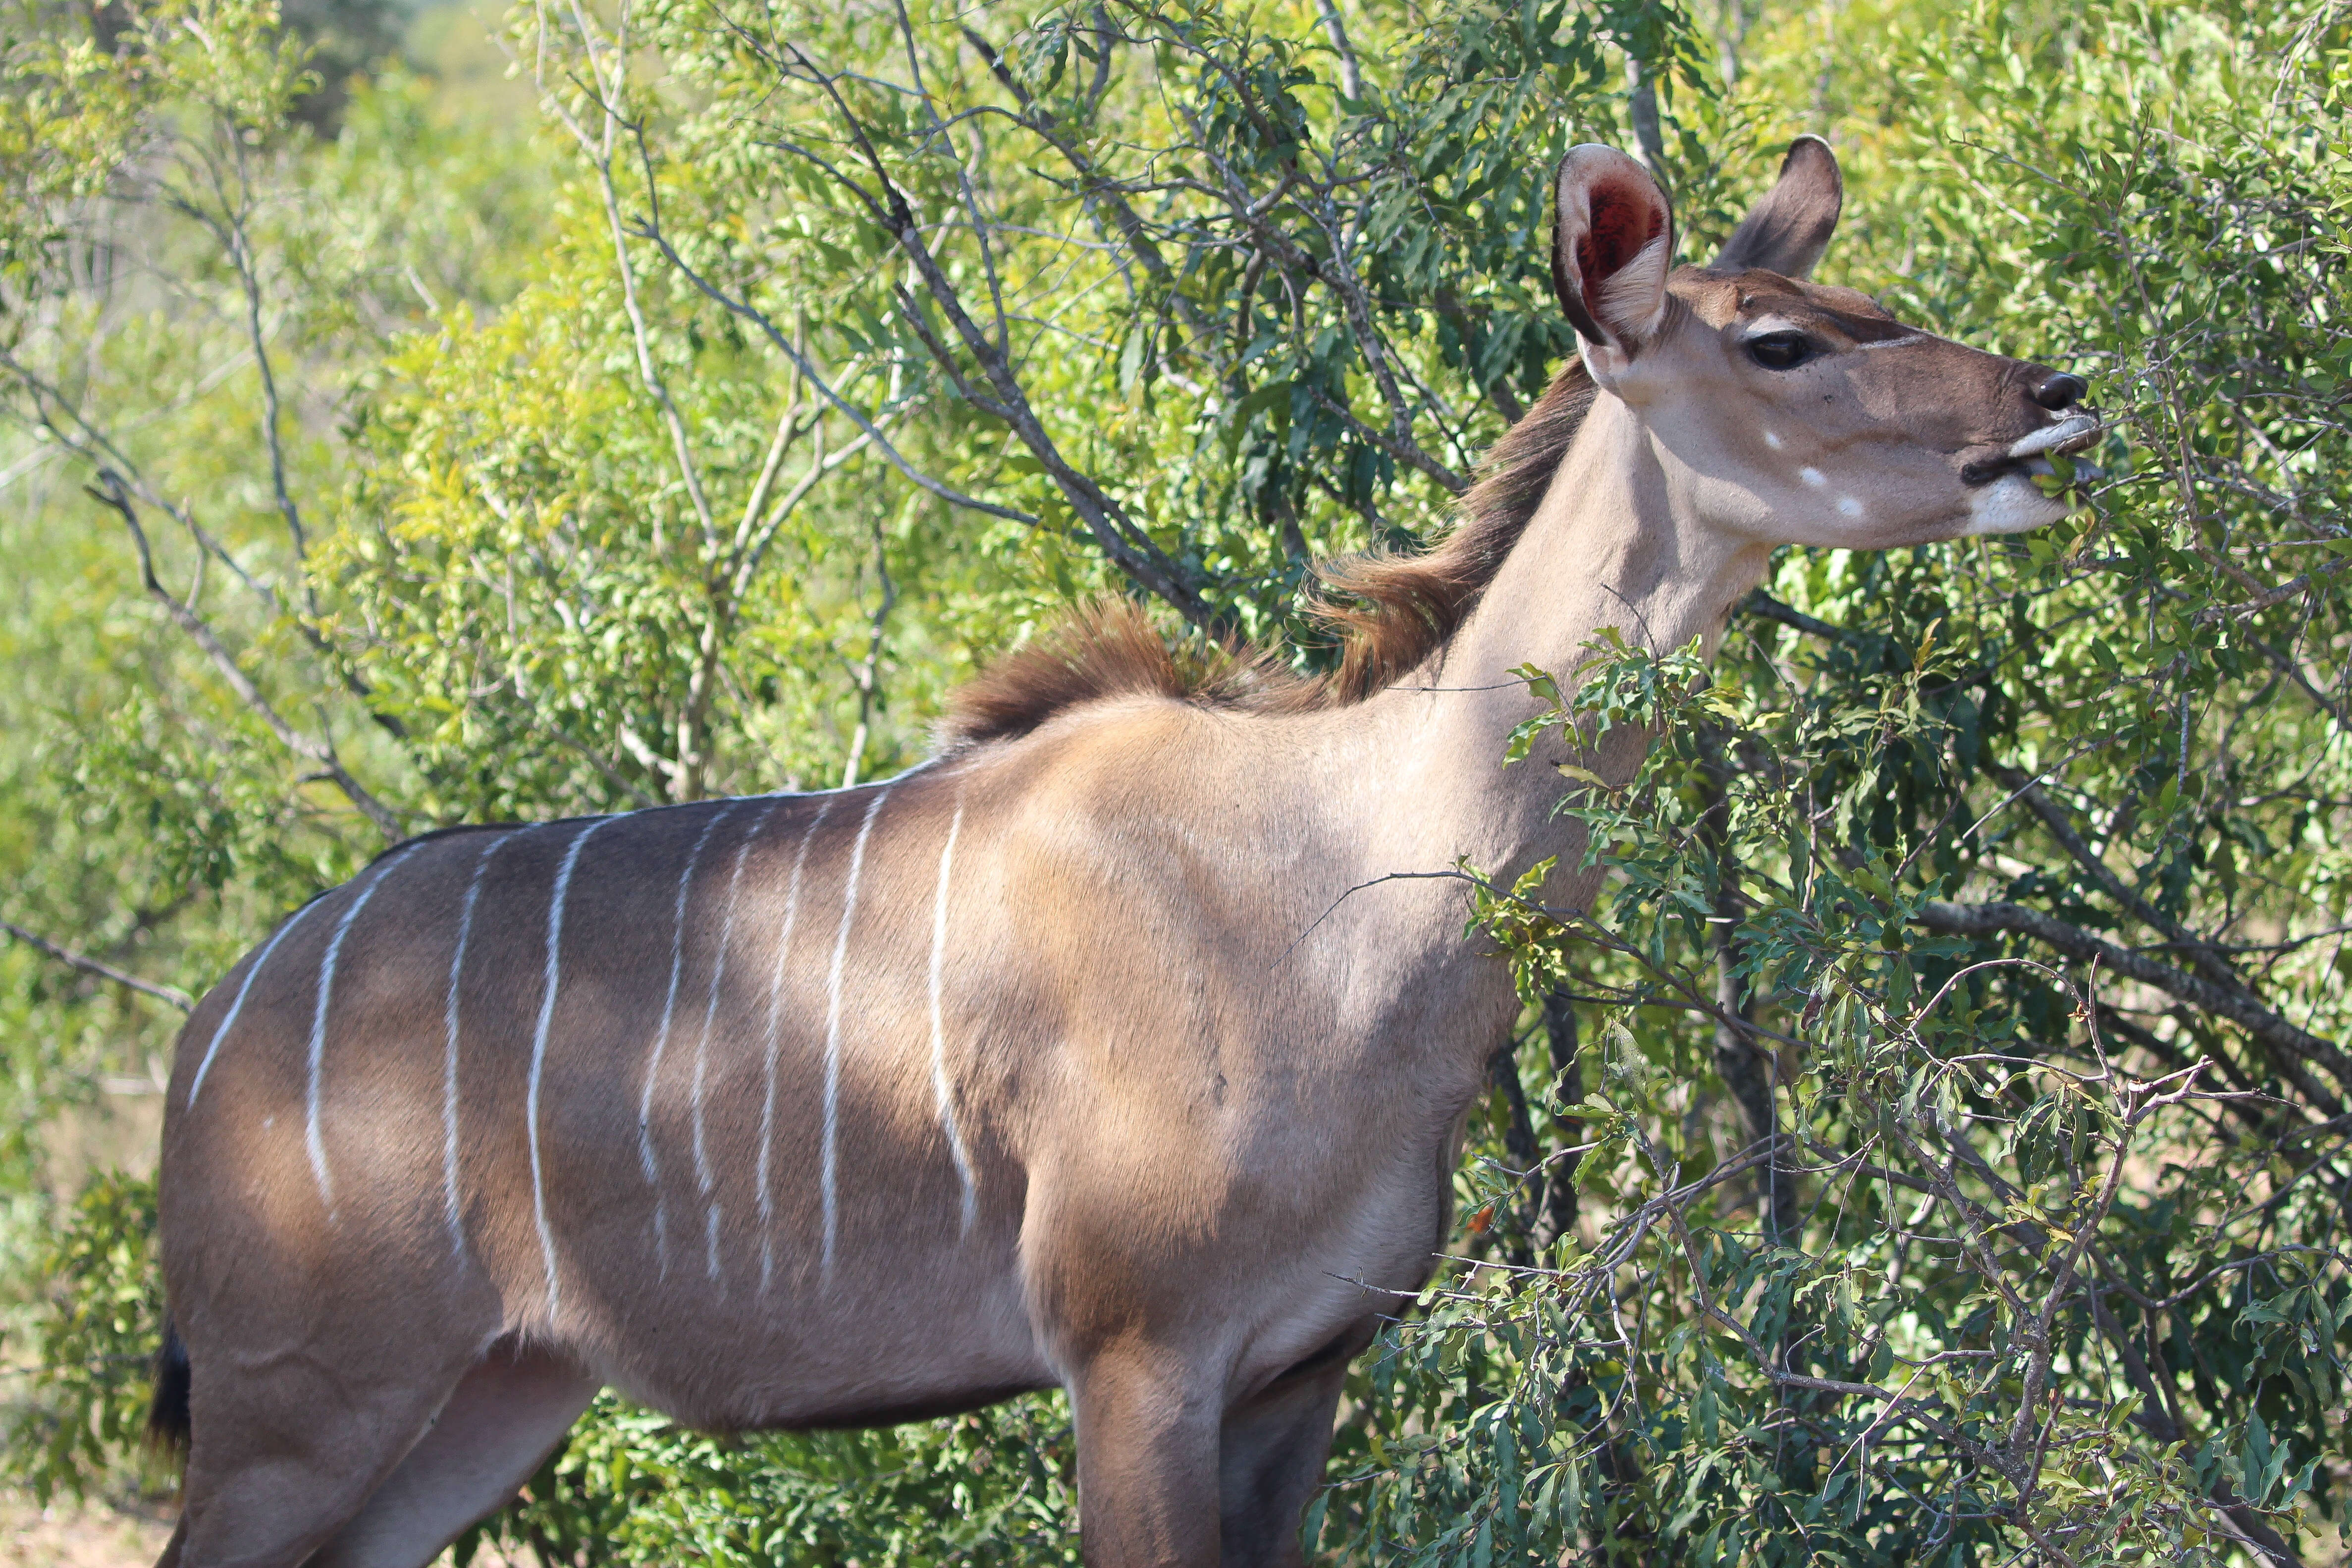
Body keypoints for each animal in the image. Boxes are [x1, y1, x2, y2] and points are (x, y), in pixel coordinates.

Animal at [147, 138, 2098, 1568]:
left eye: (1862, 295)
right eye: (1779, 339)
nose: (2053, 395)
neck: (1343, 875)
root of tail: (211, 1026)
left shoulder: (1297, 1378)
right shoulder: (1135, 1355)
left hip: (483, 1397)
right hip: (294, 1409)